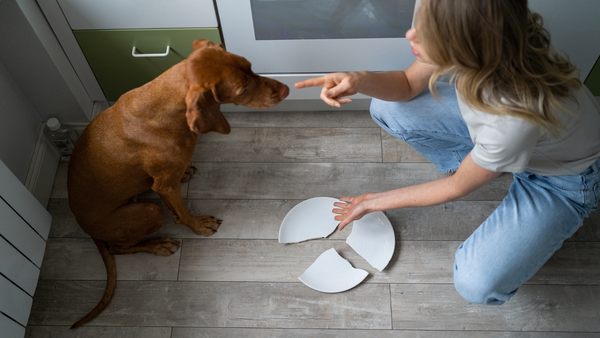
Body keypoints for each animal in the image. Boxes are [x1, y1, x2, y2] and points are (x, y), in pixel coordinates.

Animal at [67, 39, 290, 328]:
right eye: (242, 88)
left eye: (251, 66)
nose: (286, 89)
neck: (162, 104)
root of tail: (83, 225)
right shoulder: (164, 186)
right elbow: (182, 213)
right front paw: (199, 225)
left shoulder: (166, 183)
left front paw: (184, 174)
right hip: (149, 211)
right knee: (118, 247)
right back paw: (158, 245)